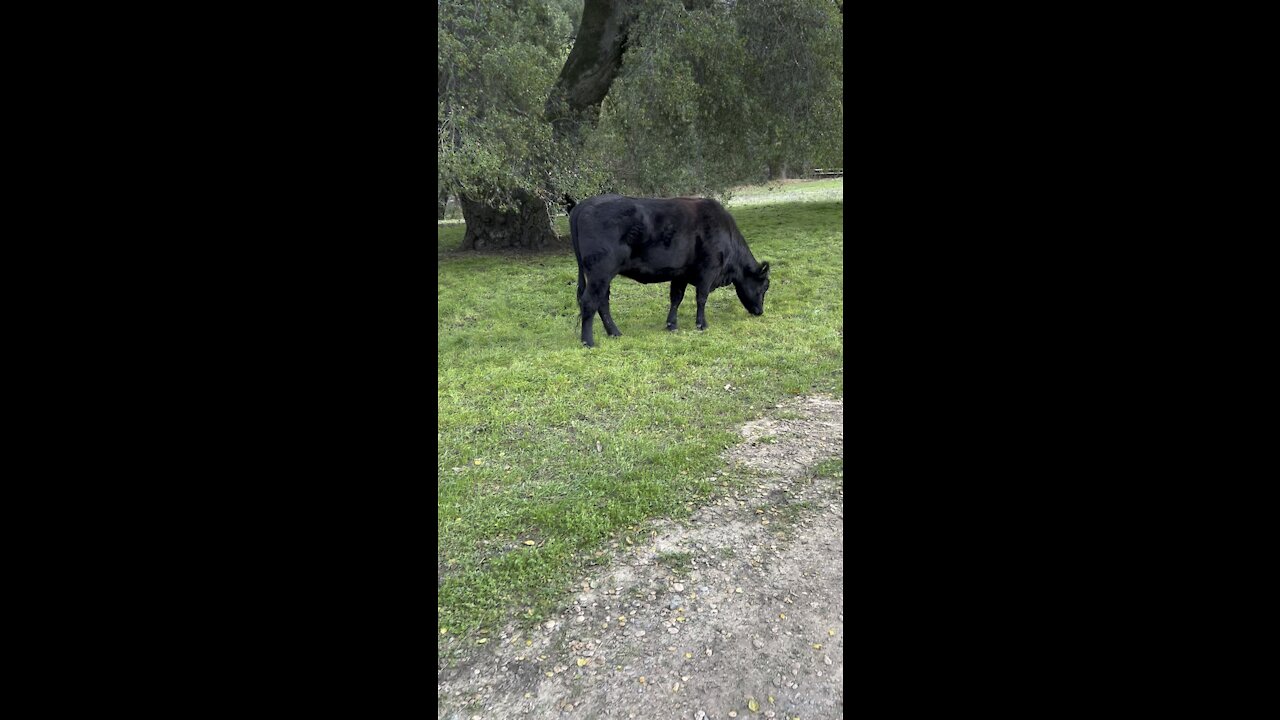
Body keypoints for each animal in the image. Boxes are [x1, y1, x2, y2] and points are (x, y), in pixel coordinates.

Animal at [569, 194, 771, 347]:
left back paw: (614, 332)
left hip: (602, 276)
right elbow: (701, 298)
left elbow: (676, 298)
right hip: (600, 273)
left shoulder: (680, 273)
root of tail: (583, 205)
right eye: (764, 287)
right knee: (589, 302)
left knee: (602, 303)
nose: (760, 312)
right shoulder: (708, 271)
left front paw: (671, 324)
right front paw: (701, 324)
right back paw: (588, 342)